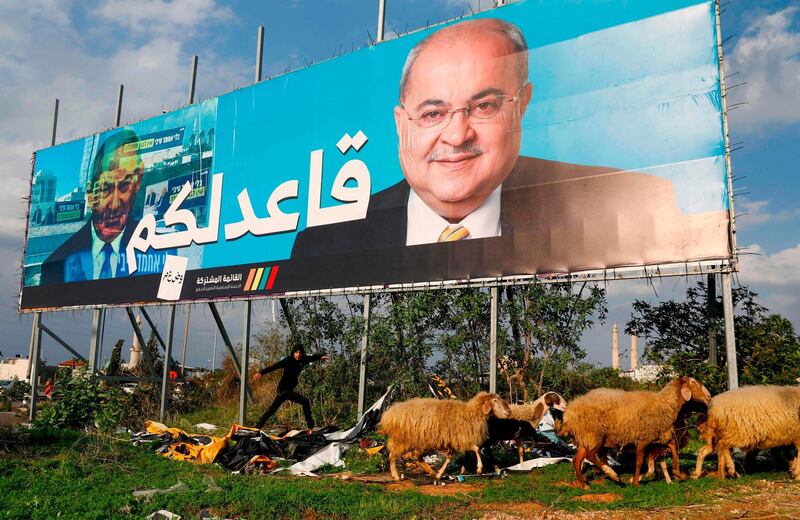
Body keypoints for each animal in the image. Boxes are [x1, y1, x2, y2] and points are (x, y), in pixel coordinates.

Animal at [376, 390, 512, 480]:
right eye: (495, 400)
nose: (509, 412)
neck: (472, 413)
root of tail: (389, 414)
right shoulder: (461, 439)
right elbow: (476, 449)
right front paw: (479, 469)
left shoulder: (454, 441)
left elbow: (451, 458)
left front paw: (442, 473)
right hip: (403, 440)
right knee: (392, 456)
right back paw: (396, 476)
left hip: (418, 441)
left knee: (417, 457)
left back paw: (431, 472)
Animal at [560, 376, 708, 490]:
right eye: (693, 382)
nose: (708, 396)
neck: (666, 404)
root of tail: (569, 413)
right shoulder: (644, 438)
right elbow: (639, 462)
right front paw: (635, 482)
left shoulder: (658, 437)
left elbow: (672, 447)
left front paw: (678, 473)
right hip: (594, 434)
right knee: (590, 455)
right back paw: (612, 474)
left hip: (586, 438)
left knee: (577, 460)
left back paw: (585, 485)